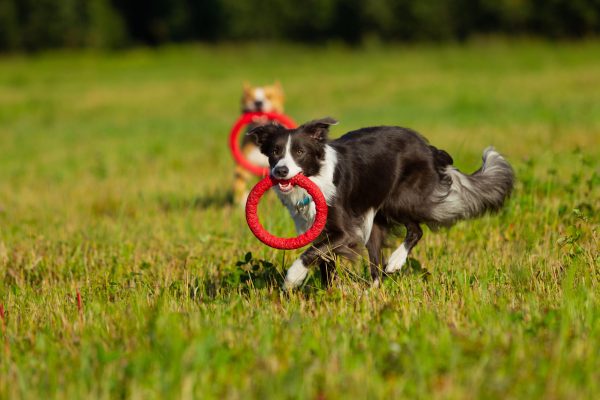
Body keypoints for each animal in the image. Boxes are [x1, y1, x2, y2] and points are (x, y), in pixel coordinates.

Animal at [246, 117, 512, 290]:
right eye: (275, 152)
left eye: (300, 152)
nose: (281, 171)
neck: (315, 177)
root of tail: (428, 148)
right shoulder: (320, 230)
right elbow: (323, 260)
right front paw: (328, 295)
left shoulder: (345, 232)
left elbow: (312, 253)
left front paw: (292, 278)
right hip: (375, 218)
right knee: (377, 262)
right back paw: (372, 292)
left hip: (399, 200)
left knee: (416, 230)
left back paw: (395, 262)